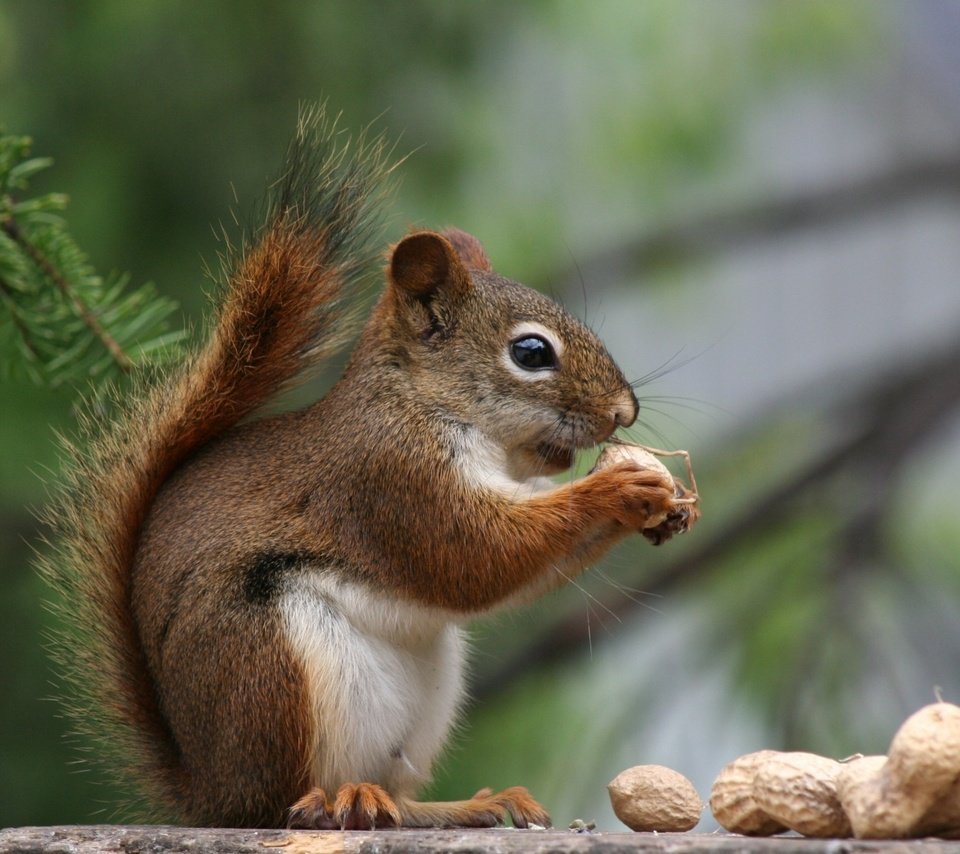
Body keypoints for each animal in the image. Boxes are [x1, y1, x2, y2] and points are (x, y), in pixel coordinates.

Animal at [45, 105, 692, 828]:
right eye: (531, 352)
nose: (625, 411)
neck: (431, 406)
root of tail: (211, 793)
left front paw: (663, 507)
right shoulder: (388, 479)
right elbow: (476, 555)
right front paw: (619, 486)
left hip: (425, 695)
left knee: (399, 799)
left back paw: (463, 805)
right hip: (271, 665)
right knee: (282, 804)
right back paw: (334, 802)